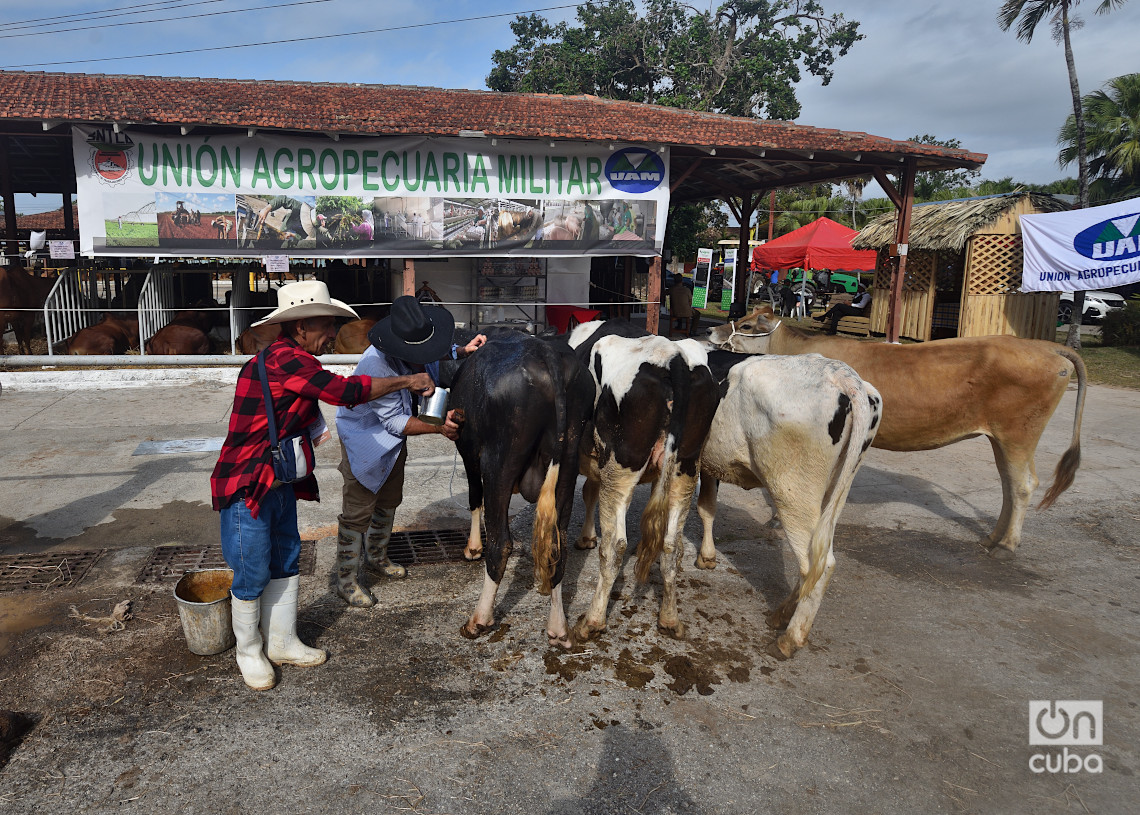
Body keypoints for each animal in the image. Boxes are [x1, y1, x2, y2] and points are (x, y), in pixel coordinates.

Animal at [446, 332, 597, 652]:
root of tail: (545, 351)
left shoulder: (468, 450)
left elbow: (474, 498)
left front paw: (472, 547)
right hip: (568, 460)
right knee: (557, 548)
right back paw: (558, 629)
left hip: (499, 460)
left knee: (501, 542)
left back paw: (479, 620)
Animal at [570, 321, 720, 642]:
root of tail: (673, 356)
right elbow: (589, 492)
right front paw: (587, 537)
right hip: (685, 466)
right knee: (671, 546)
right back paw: (670, 619)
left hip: (620, 465)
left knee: (615, 546)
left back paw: (592, 621)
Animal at [693, 348, 880, 656]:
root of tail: (840, 373)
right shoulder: (709, 462)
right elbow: (707, 507)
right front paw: (707, 557)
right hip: (835, 490)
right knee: (812, 562)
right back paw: (781, 615)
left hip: (792, 492)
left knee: (820, 565)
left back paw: (789, 639)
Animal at [706, 307, 1089, 560]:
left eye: (747, 324)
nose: (710, 332)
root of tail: (1043, 346)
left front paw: (775, 517)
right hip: (1003, 438)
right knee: (1011, 484)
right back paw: (993, 538)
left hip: (1018, 434)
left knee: (1023, 484)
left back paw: (1007, 545)